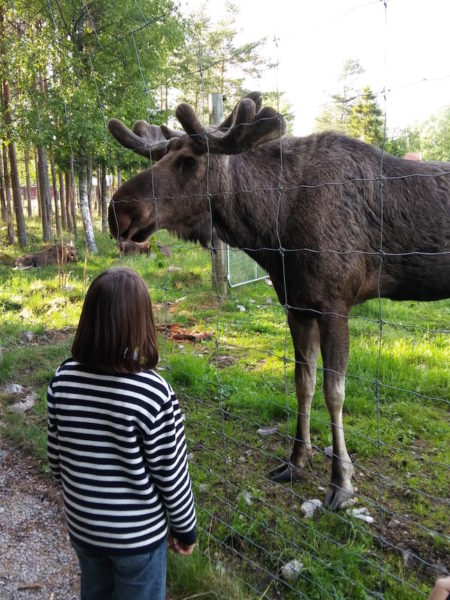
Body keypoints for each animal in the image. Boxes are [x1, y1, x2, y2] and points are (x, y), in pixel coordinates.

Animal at [107, 91, 448, 508]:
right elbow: (303, 383)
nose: (117, 211)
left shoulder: (335, 304)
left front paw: (341, 481)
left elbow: (335, 393)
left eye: (188, 161)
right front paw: (296, 460)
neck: (272, 232)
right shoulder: (297, 306)